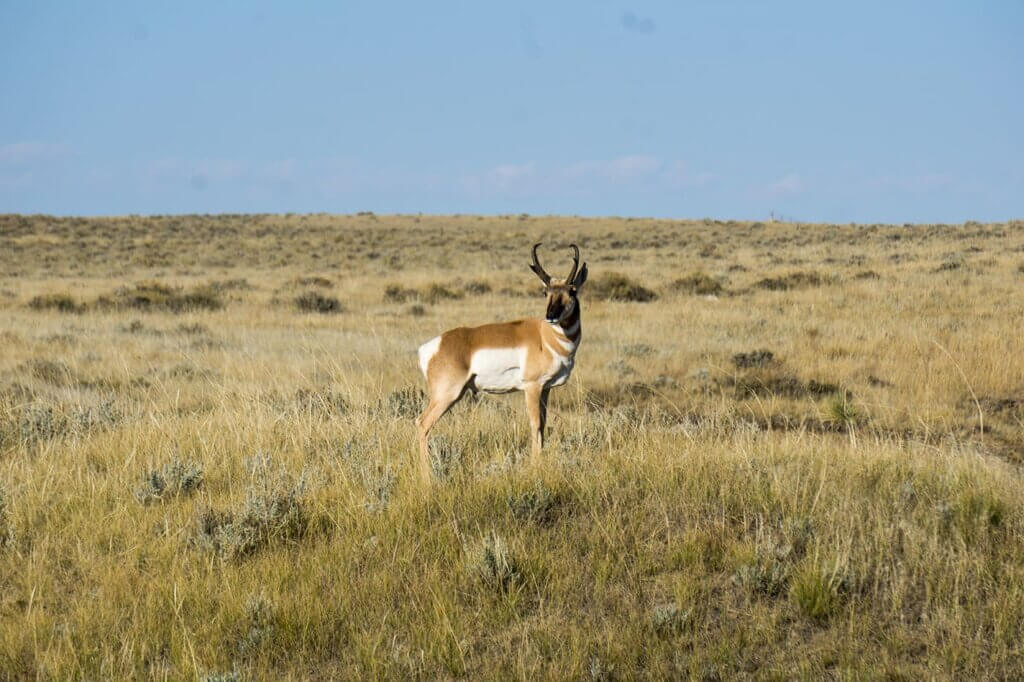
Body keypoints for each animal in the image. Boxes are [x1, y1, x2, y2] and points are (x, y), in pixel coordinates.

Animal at [415, 241, 589, 481]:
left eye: (571, 290)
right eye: (545, 291)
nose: (551, 316)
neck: (545, 337)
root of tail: (434, 345)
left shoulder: (546, 389)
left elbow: (543, 424)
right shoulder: (532, 387)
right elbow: (535, 424)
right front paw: (535, 467)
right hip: (446, 395)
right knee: (422, 424)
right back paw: (427, 477)